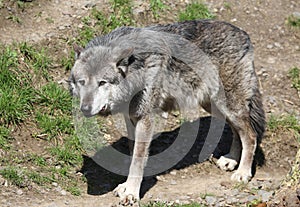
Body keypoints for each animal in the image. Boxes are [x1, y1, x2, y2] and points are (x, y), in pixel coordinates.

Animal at [68, 19, 264, 205]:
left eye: (102, 83)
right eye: (81, 82)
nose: (85, 109)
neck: (136, 67)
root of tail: (243, 34)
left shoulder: (145, 120)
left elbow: (137, 160)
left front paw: (131, 193)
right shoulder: (130, 118)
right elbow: (133, 154)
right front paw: (126, 186)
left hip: (228, 106)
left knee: (250, 135)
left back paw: (243, 173)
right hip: (215, 106)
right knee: (237, 131)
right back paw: (231, 160)